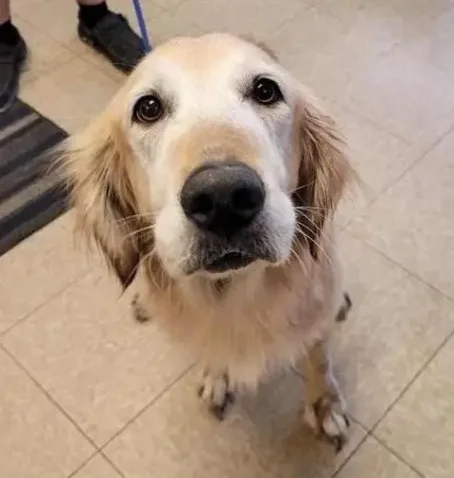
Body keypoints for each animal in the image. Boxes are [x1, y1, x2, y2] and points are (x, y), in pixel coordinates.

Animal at [61, 33, 354, 452]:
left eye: (265, 90)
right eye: (148, 108)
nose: (223, 198)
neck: (234, 295)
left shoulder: (316, 310)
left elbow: (319, 355)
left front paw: (325, 404)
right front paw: (217, 376)